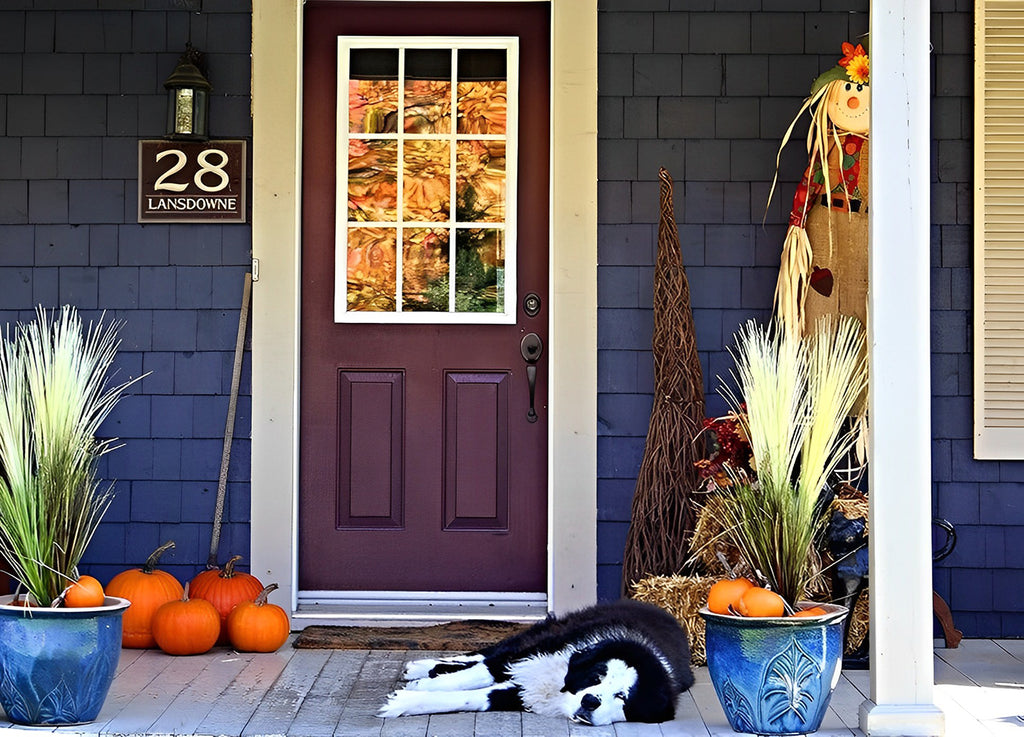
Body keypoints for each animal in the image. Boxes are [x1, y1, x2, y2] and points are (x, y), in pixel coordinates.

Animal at [378, 597, 696, 724]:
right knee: (483, 655)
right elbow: (479, 672)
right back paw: (421, 667)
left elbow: (478, 696)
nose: (590, 701)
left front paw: (408, 700)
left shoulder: (519, 692)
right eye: (596, 677)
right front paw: (417, 689)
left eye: (622, 696)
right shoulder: (535, 653)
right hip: (541, 635)